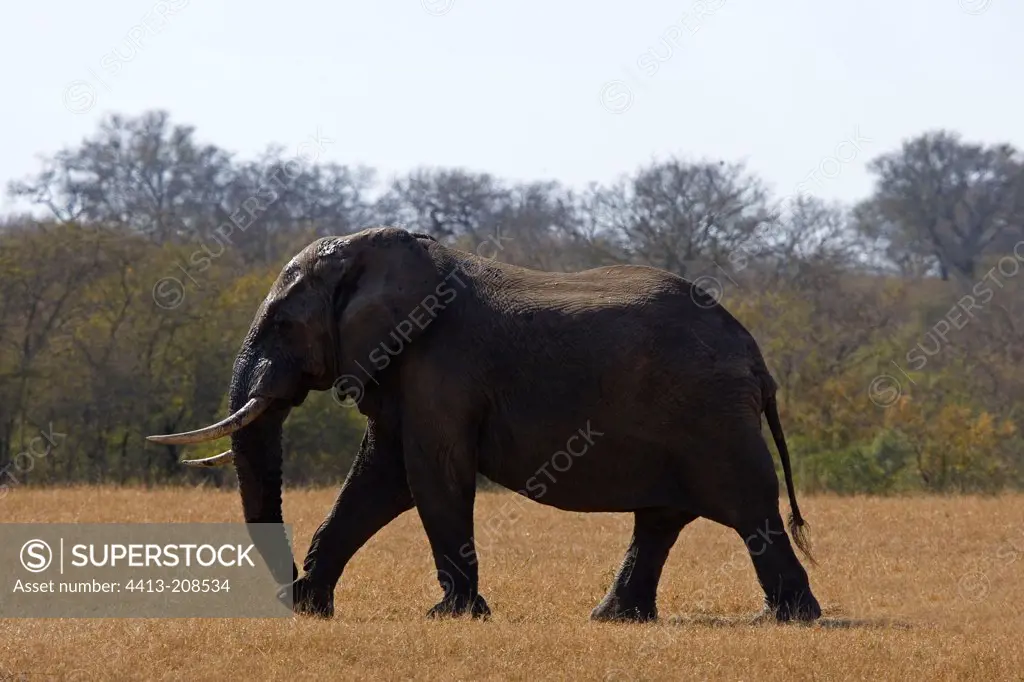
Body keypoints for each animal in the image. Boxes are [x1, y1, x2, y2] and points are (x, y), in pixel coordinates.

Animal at [149, 224, 823, 622]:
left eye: (285, 326)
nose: (286, 592)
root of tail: (755, 356)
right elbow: (381, 476)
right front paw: (315, 609)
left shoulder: (441, 367)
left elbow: (431, 475)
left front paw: (453, 616)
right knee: (661, 519)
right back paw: (613, 619)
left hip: (711, 417)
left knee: (749, 509)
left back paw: (789, 620)